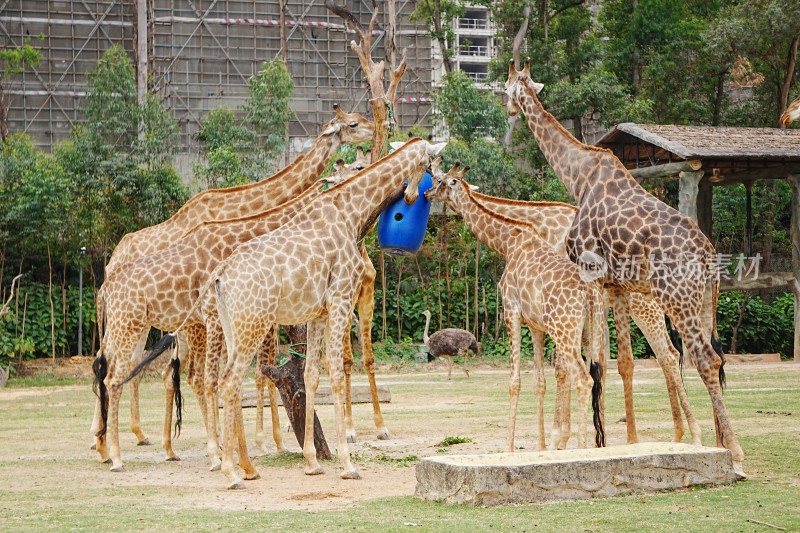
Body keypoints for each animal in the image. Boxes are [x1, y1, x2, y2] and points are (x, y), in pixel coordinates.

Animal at [90, 105, 376, 448]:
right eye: (353, 124)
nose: (376, 131)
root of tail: (111, 263)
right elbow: (245, 371)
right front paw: (260, 440)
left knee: (131, 364)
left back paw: (138, 438)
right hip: (143, 319)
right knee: (127, 364)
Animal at [422, 164, 604, 450]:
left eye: (440, 181)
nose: (427, 194)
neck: (507, 242)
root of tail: (589, 292)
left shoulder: (511, 312)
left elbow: (514, 382)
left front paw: (508, 447)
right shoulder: (537, 327)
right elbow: (538, 382)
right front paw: (541, 447)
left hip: (564, 329)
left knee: (582, 379)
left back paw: (580, 448)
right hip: (590, 329)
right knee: (597, 375)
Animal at [504, 59, 748, 478]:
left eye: (504, 89)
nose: (507, 110)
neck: (578, 176)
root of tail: (706, 253)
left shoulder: (589, 273)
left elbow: (591, 363)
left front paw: (587, 443)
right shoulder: (616, 285)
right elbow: (624, 363)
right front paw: (627, 442)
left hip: (676, 299)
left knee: (702, 359)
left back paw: (735, 453)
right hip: (706, 301)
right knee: (717, 359)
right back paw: (718, 444)